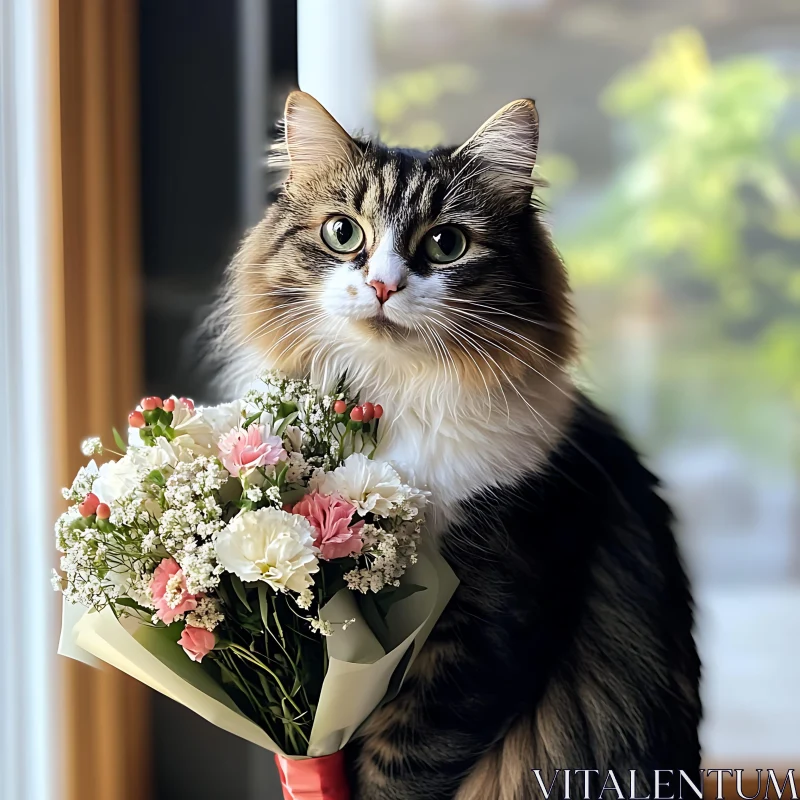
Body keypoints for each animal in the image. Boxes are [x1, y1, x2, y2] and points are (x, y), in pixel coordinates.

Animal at [217, 92, 700, 800]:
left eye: (446, 244)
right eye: (343, 233)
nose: (384, 286)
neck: (394, 402)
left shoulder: (492, 619)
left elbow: (402, 764)